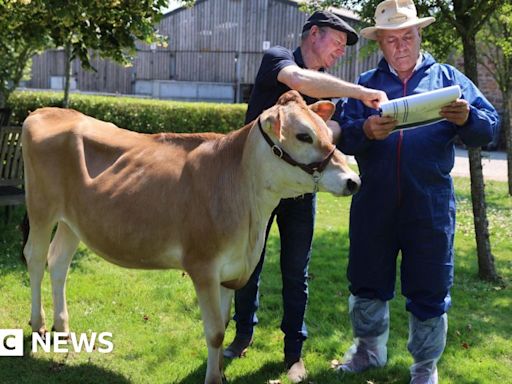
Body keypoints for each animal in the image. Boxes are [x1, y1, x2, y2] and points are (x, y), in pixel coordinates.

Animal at [22, 91, 360, 384]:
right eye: (304, 135)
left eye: (328, 134)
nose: (353, 180)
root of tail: (47, 111)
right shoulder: (203, 266)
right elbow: (215, 333)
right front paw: (213, 379)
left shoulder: (230, 272)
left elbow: (224, 323)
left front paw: (221, 372)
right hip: (41, 208)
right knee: (36, 259)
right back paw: (39, 325)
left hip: (73, 221)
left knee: (58, 263)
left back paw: (63, 328)